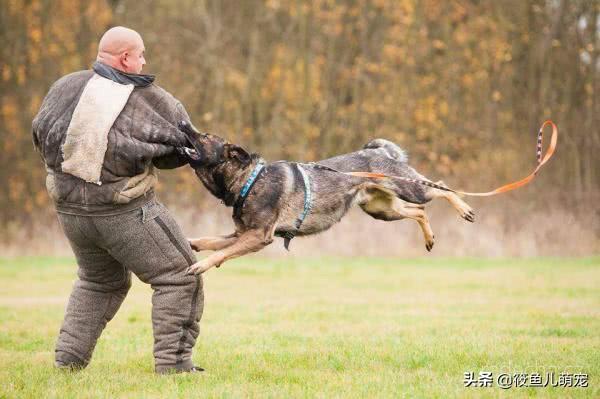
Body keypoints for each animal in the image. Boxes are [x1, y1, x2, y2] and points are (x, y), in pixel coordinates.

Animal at [178, 120, 474, 276]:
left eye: (204, 136)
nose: (182, 122)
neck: (249, 181)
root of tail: (379, 152)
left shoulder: (258, 237)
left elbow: (222, 252)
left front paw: (201, 265)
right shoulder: (241, 234)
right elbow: (210, 241)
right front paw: (192, 243)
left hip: (408, 189)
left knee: (441, 187)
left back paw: (465, 210)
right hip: (381, 210)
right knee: (420, 211)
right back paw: (429, 238)